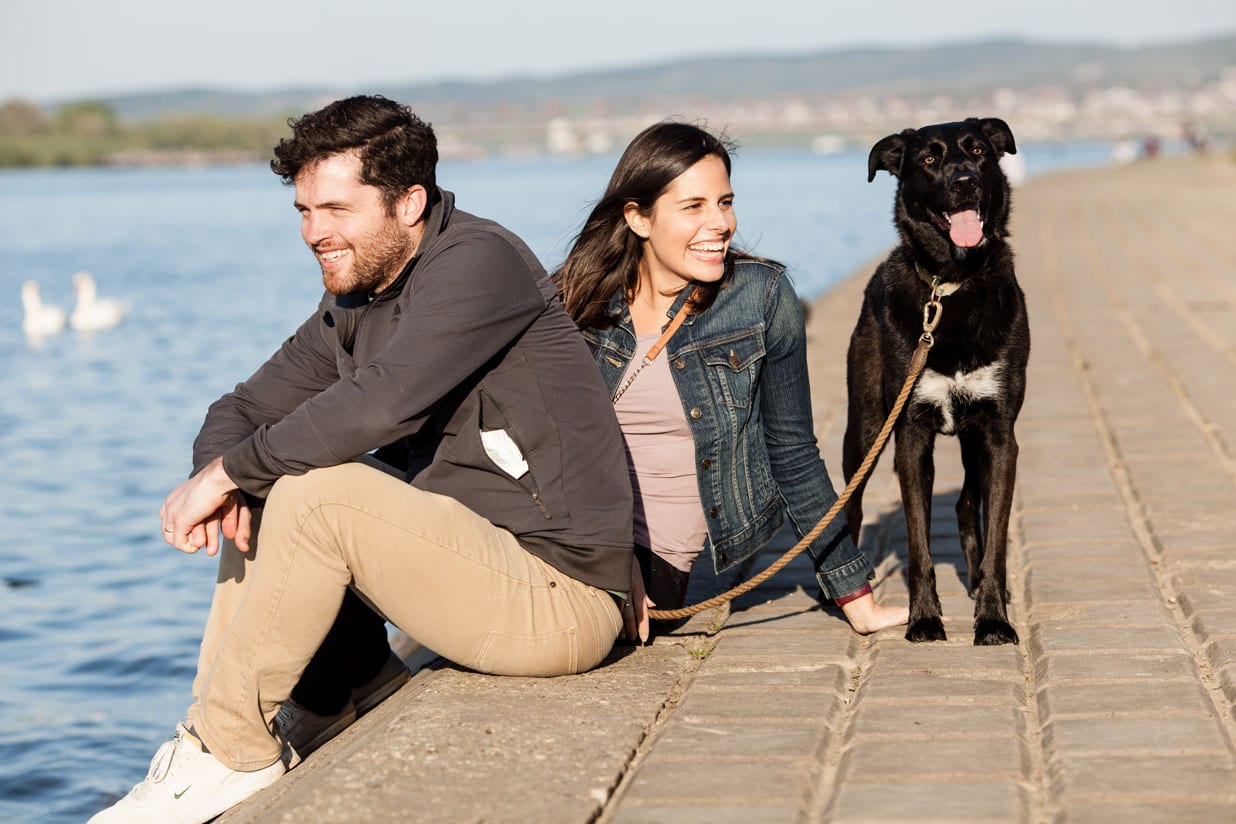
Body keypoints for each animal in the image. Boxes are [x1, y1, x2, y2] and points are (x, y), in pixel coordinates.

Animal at [845, 117, 1028, 642]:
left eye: (979, 150)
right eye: (928, 159)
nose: (964, 181)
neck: (950, 285)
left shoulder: (999, 435)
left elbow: (995, 539)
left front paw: (992, 617)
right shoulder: (909, 433)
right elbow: (918, 544)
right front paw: (925, 618)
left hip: (972, 438)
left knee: (967, 504)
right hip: (865, 428)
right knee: (851, 508)